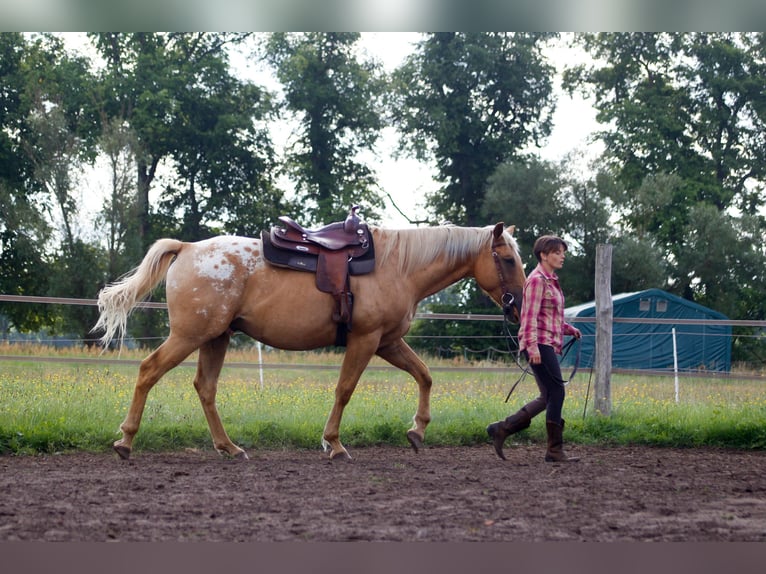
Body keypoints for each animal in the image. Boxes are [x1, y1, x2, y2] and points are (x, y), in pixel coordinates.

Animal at [93, 222, 525, 460]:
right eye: (507, 259)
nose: (519, 306)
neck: (398, 266)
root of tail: (186, 248)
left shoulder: (387, 342)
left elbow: (425, 375)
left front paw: (417, 431)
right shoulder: (366, 340)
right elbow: (345, 389)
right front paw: (333, 444)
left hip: (215, 338)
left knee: (206, 388)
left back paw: (228, 447)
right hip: (190, 336)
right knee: (149, 371)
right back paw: (126, 440)